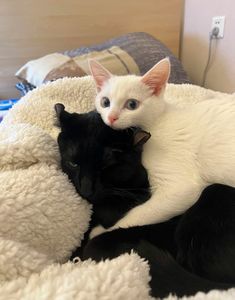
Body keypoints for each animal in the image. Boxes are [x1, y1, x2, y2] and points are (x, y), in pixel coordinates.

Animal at [88, 58, 235, 232]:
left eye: (132, 104)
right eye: (105, 102)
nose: (111, 117)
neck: (157, 122)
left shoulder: (181, 188)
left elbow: (137, 216)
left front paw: (100, 231)